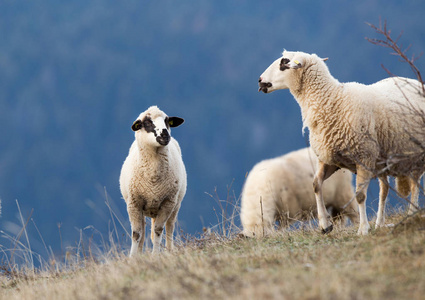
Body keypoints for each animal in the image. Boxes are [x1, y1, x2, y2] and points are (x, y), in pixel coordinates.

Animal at [119, 105, 186, 255]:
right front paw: (133, 257)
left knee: (169, 229)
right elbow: (136, 234)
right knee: (143, 233)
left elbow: (158, 231)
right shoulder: (134, 204)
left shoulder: (167, 203)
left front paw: (155, 256)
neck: (153, 179)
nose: (165, 134)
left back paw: (169, 251)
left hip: (175, 205)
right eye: (147, 122)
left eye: (167, 121)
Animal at [256, 50, 424, 236]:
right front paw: (325, 225)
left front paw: (363, 229)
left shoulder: (363, 157)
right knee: (385, 189)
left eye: (284, 63)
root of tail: (415, 82)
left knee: (414, 186)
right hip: (382, 159)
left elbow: (359, 195)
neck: (333, 100)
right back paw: (380, 223)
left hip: (414, 156)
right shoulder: (329, 159)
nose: (260, 81)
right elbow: (316, 185)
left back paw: (411, 215)